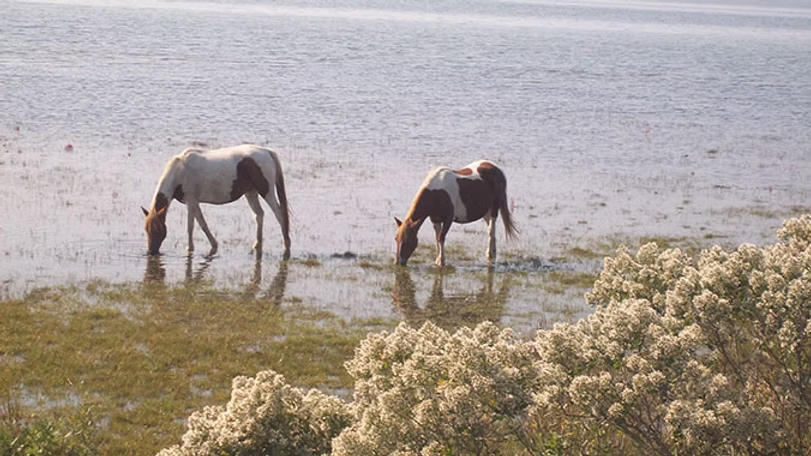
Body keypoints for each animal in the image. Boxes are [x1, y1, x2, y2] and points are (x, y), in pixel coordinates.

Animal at [142, 144, 291, 258]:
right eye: (146, 230)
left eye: (157, 230)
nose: (151, 252)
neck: (180, 171)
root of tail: (267, 151)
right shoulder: (194, 203)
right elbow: (202, 224)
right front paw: (214, 244)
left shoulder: (191, 201)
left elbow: (190, 227)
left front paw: (189, 248)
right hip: (251, 193)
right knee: (259, 214)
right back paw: (257, 244)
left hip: (267, 192)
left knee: (279, 214)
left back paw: (286, 244)